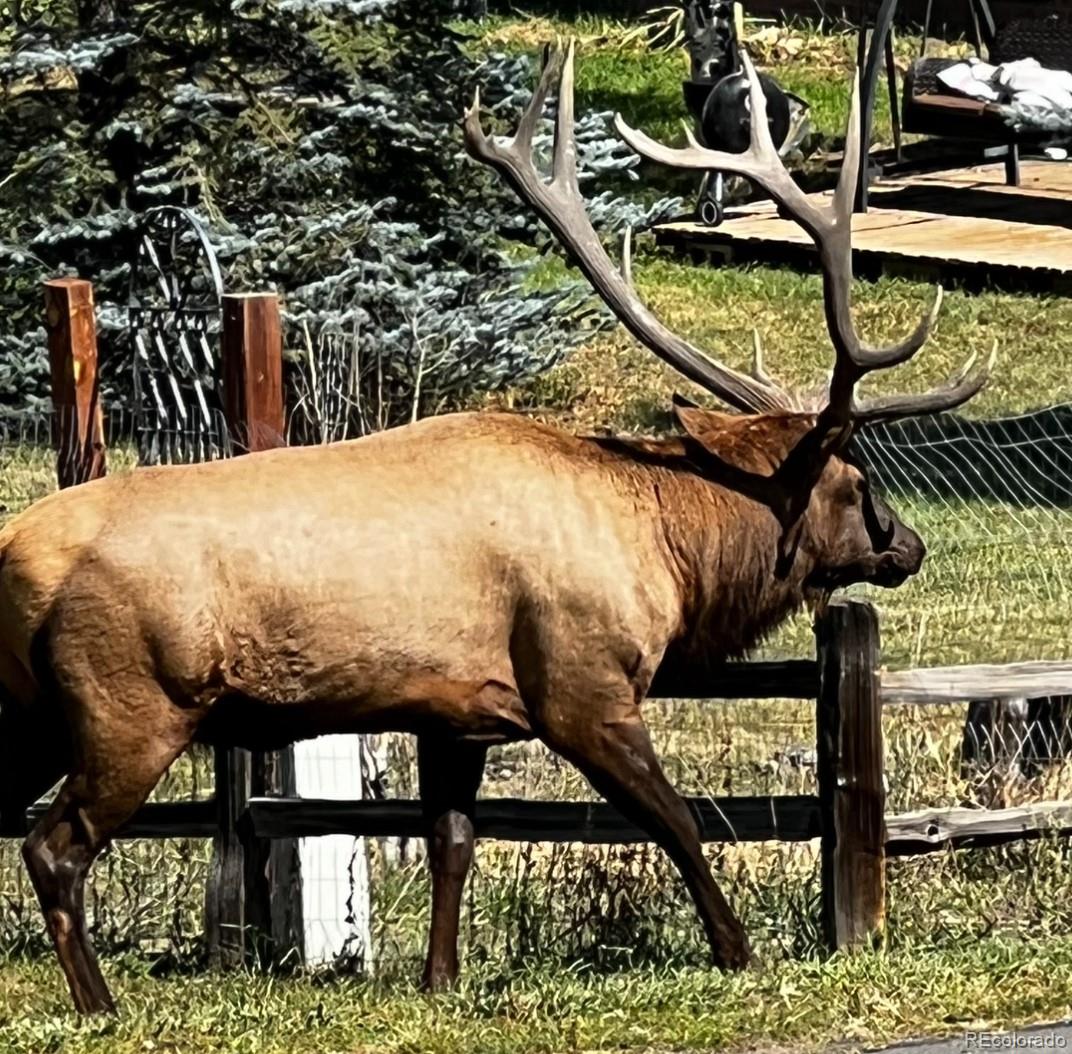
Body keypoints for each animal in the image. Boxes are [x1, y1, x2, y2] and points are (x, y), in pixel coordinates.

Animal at [0, 43, 986, 1012]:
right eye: (857, 482)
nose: (908, 544)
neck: (669, 552)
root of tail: (16, 559)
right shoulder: (583, 684)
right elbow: (678, 819)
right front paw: (737, 952)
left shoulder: (456, 714)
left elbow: (452, 842)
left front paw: (441, 980)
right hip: (130, 706)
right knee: (55, 845)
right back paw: (98, 1003)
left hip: (33, 709)